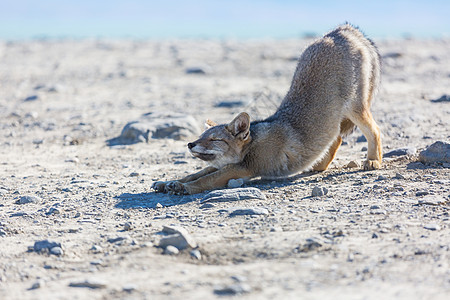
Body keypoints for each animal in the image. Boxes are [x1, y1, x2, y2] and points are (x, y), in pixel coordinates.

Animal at [153, 23, 382, 195]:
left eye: (214, 139)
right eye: (200, 137)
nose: (190, 144)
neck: (253, 143)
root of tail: (342, 29)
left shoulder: (244, 168)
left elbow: (205, 180)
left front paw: (182, 187)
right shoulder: (226, 165)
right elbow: (196, 173)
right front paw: (168, 182)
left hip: (355, 109)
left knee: (375, 130)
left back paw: (373, 161)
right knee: (336, 138)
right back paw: (318, 165)